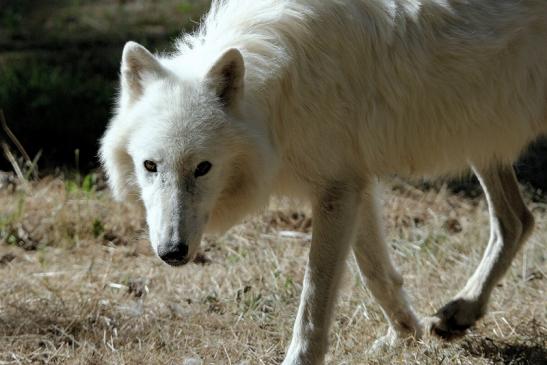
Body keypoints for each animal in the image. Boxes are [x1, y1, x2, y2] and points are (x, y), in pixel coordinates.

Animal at [99, 0, 547, 362]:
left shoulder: (337, 191)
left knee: (517, 219)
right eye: (150, 166)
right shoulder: (353, 182)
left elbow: (313, 302)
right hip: (481, 139)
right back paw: (462, 312)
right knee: (517, 220)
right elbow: (376, 273)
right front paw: (405, 334)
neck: (281, 89)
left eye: (203, 168)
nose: (172, 252)